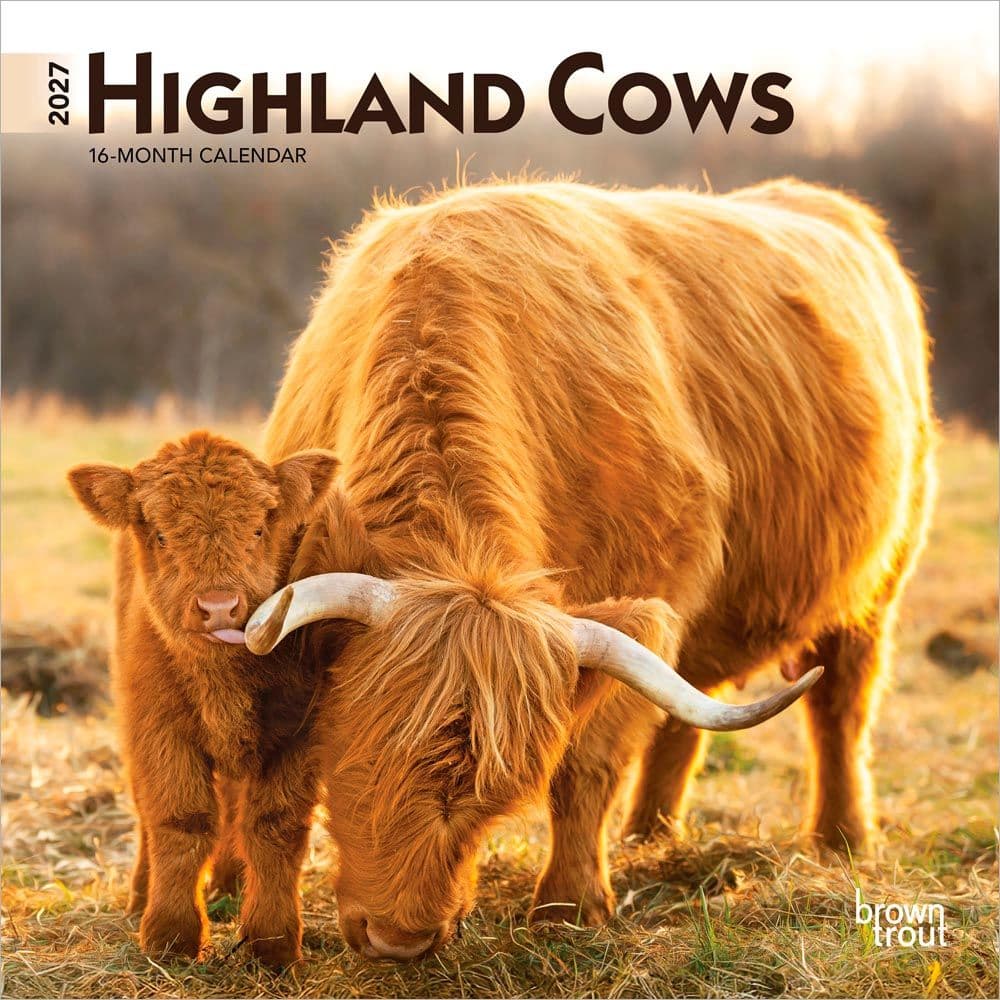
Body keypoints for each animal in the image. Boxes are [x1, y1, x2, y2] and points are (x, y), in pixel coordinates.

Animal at [67, 433, 338, 966]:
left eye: (258, 528)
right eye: (161, 535)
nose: (218, 607)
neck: (224, 683)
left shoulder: (298, 735)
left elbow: (275, 826)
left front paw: (273, 944)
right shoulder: (158, 729)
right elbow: (181, 820)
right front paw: (170, 937)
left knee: (234, 807)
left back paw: (230, 884)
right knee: (147, 814)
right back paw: (140, 896)